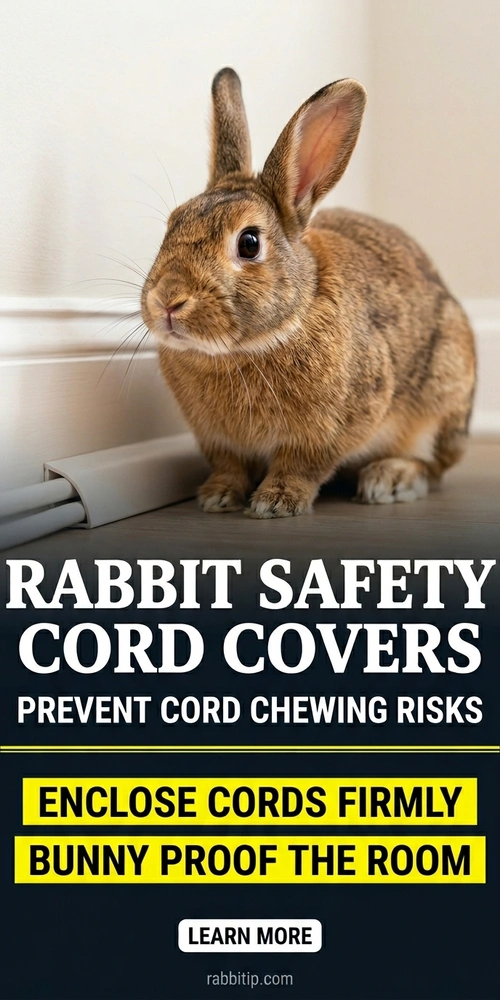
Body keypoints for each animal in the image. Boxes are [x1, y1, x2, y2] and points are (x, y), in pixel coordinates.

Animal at [141, 68, 476, 518]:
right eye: (172, 224)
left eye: (249, 243)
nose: (167, 300)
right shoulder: (218, 440)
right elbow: (229, 466)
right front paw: (218, 497)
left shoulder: (328, 431)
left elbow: (301, 465)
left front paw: (276, 502)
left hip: (442, 399)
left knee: (431, 465)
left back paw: (389, 479)